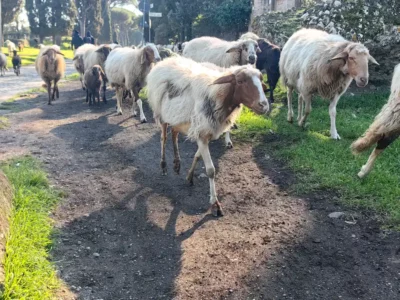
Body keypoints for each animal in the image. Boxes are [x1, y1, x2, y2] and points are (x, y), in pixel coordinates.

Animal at [147, 56, 268, 216]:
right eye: (240, 81)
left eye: (261, 80)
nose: (264, 105)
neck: (217, 96)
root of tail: (165, 61)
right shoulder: (202, 134)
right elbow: (210, 170)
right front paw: (215, 204)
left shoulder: (206, 132)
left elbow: (197, 156)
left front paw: (189, 176)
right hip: (161, 115)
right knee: (163, 139)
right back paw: (164, 166)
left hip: (177, 117)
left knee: (174, 134)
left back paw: (177, 164)